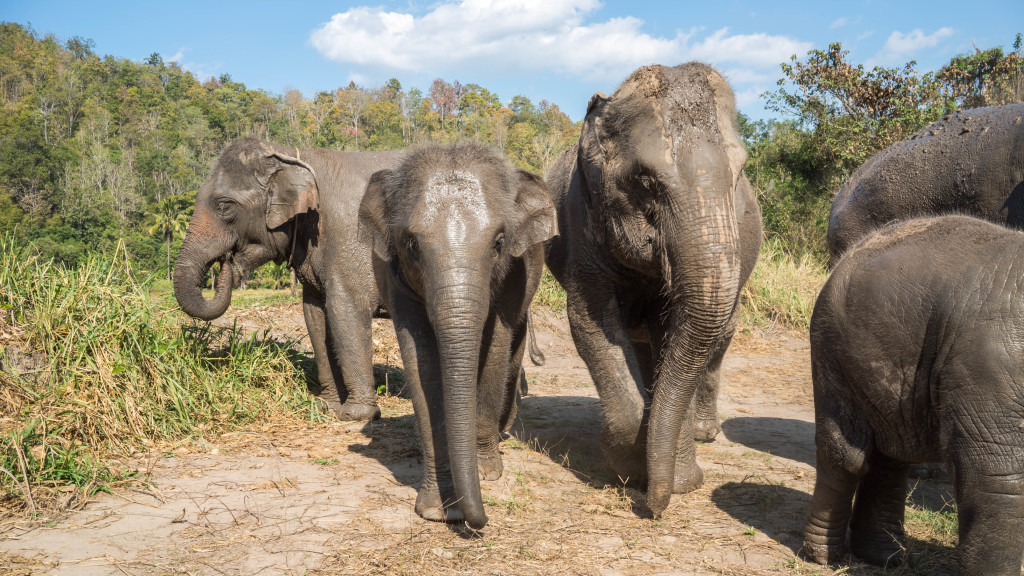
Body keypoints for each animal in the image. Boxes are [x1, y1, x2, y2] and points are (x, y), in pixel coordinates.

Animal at [174, 136, 401, 420]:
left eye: (224, 205)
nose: (227, 259)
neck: (291, 154)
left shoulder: (351, 238)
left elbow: (345, 311)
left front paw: (355, 415)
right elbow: (315, 316)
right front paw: (324, 406)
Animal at [356, 141, 557, 528]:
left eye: (499, 242)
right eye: (412, 245)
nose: (479, 521)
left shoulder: (515, 272)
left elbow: (495, 346)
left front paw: (487, 472)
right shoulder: (393, 275)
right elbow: (421, 361)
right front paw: (438, 510)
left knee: (512, 352)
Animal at [548, 63, 765, 516]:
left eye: (739, 175)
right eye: (646, 181)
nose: (653, 509)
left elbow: (674, 334)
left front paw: (675, 481)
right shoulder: (582, 220)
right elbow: (590, 323)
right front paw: (633, 465)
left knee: (718, 339)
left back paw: (702, 432)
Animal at [802, 213, 1024, 569]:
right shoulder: (990, 358)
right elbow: (996, 474)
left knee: (892, 453)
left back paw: (885, 556)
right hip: (830, 346)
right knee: (848, 454)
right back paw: (822, 556)